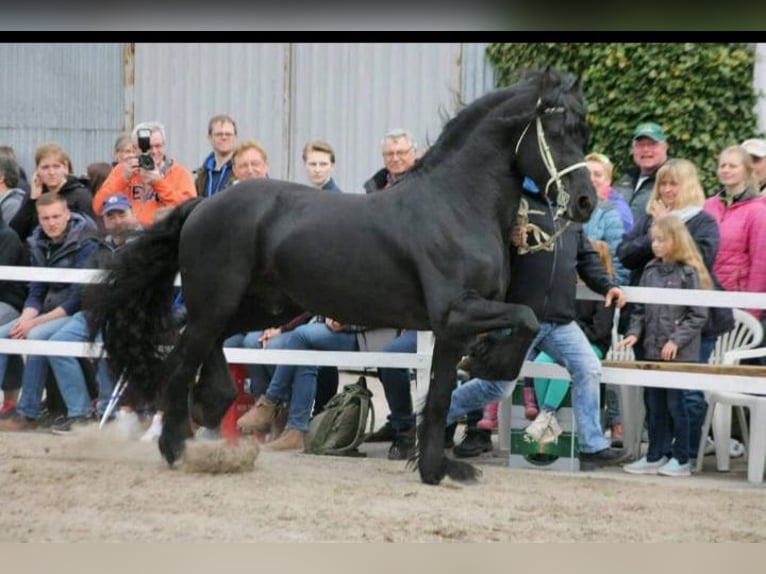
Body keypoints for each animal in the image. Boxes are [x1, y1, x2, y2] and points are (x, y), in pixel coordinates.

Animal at [87, 70, 596, 488]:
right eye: (556, 131)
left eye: (583, 130)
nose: (586, 202)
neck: (457, 206)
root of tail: (202, 205)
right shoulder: (456, 312)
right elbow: (526, 317)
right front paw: (492, 363)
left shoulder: (450, 329)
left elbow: (440, 395)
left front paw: (437, 468)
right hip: (219, 301)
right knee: (180, 359)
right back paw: (178, 447)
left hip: (264, 307)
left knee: (207, 344)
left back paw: (213, 404)